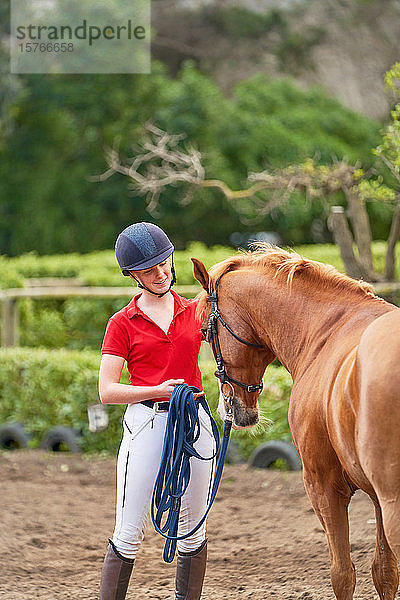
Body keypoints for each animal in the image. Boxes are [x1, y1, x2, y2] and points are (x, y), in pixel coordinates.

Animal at [191, 246, 400, 600]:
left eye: (207, 331)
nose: (228, 408)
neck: (326, 332)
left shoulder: (324, 486)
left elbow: (342, 575)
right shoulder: (374, 499)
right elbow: (385, 573)